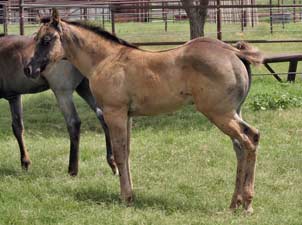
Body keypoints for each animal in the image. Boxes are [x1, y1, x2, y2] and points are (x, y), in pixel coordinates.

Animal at [0, 34, 116, 177]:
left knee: (73, 122)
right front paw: (25, 162)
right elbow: (17, 127)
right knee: (103, 116)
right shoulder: (14, 97)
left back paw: (72, 169)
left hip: (62, 92)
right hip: (85, 87)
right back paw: (112, 162)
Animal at [25, 10, 262, 214]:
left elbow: (120, 154)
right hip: (233, 111)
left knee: (250, 139)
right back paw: (234, 203)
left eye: (46, 39)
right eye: (36, 38)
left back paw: (248, 203)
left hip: (219, 113)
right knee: (240, 147)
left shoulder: (114, 113)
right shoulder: (128, 116)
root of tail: (233, 51)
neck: (105, 59)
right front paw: (132, 195)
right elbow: (127, 153)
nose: (29, 68)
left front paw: (126, 197)